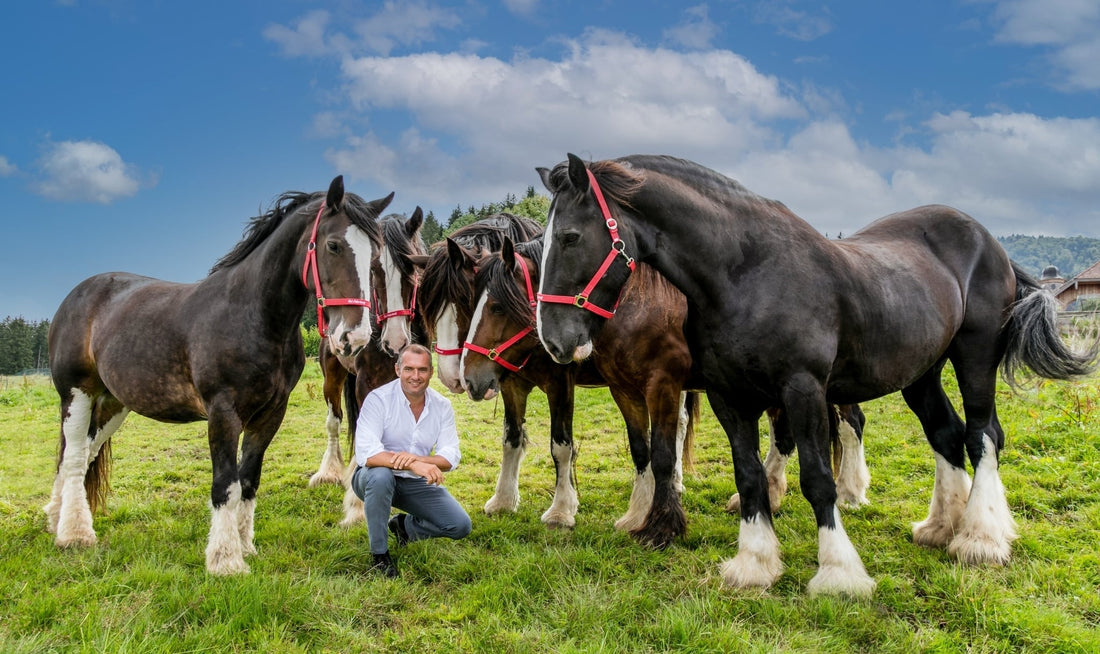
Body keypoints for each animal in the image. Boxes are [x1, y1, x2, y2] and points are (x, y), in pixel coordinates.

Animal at [46, 176, 391, 575]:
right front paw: (225, 559)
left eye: (375, 255)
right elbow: (226, 483)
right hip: (77, 393)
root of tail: (78, 294)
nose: (355, 337)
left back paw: (55, 518)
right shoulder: (223, 413)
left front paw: (245, 545)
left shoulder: (270, 414)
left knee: (82, 453)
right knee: (73, 457)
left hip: (114, 404)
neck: (250, 315)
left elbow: (249, 480)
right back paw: (74, 534)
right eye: (333, 245)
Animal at [462, 235, 866, 536]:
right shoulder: (618, 389)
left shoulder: (650, 386)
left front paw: (566, 512)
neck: (638, 306)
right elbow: (640, 450)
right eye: (473, 302)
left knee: (841, 424)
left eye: (497, 307)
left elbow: (651, 451)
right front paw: (637, 514)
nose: (468, 376)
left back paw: (849, 490)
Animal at [530, 154, 1091, 597]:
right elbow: (750, 477)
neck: (746, 273)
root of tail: (989, 241)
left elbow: (818, 480)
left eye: (570, 236)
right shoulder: (729, 398)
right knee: (947, 435)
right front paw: (754, 564)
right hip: (921, 373)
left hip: (974, 359)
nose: (553, 339)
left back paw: (980, 538)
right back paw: (939, 526)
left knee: (983, 436)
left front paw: (839, 573)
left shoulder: (802, 390)